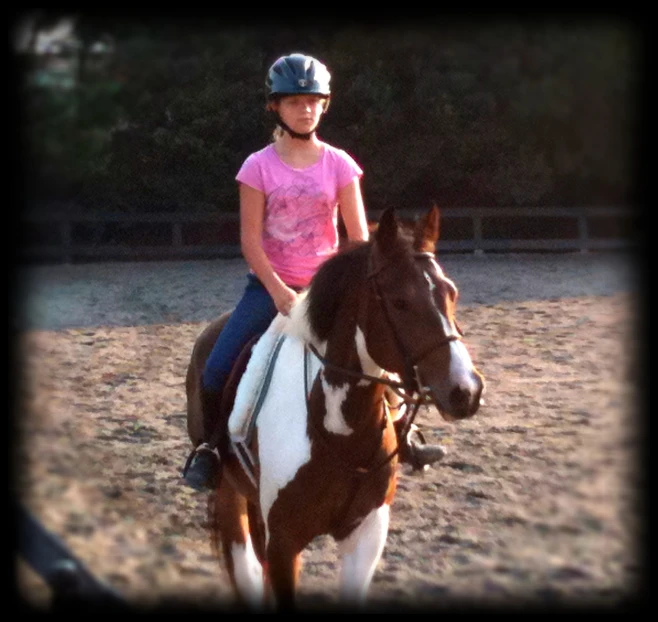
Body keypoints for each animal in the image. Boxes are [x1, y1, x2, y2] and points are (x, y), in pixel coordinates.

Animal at [184, 207, 482, 612]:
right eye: (400, 302)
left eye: (452, 293)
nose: (466, 390)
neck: (341, 431)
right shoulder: (283, 542)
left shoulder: (367, 535)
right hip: (230, 493)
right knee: (244, 565)